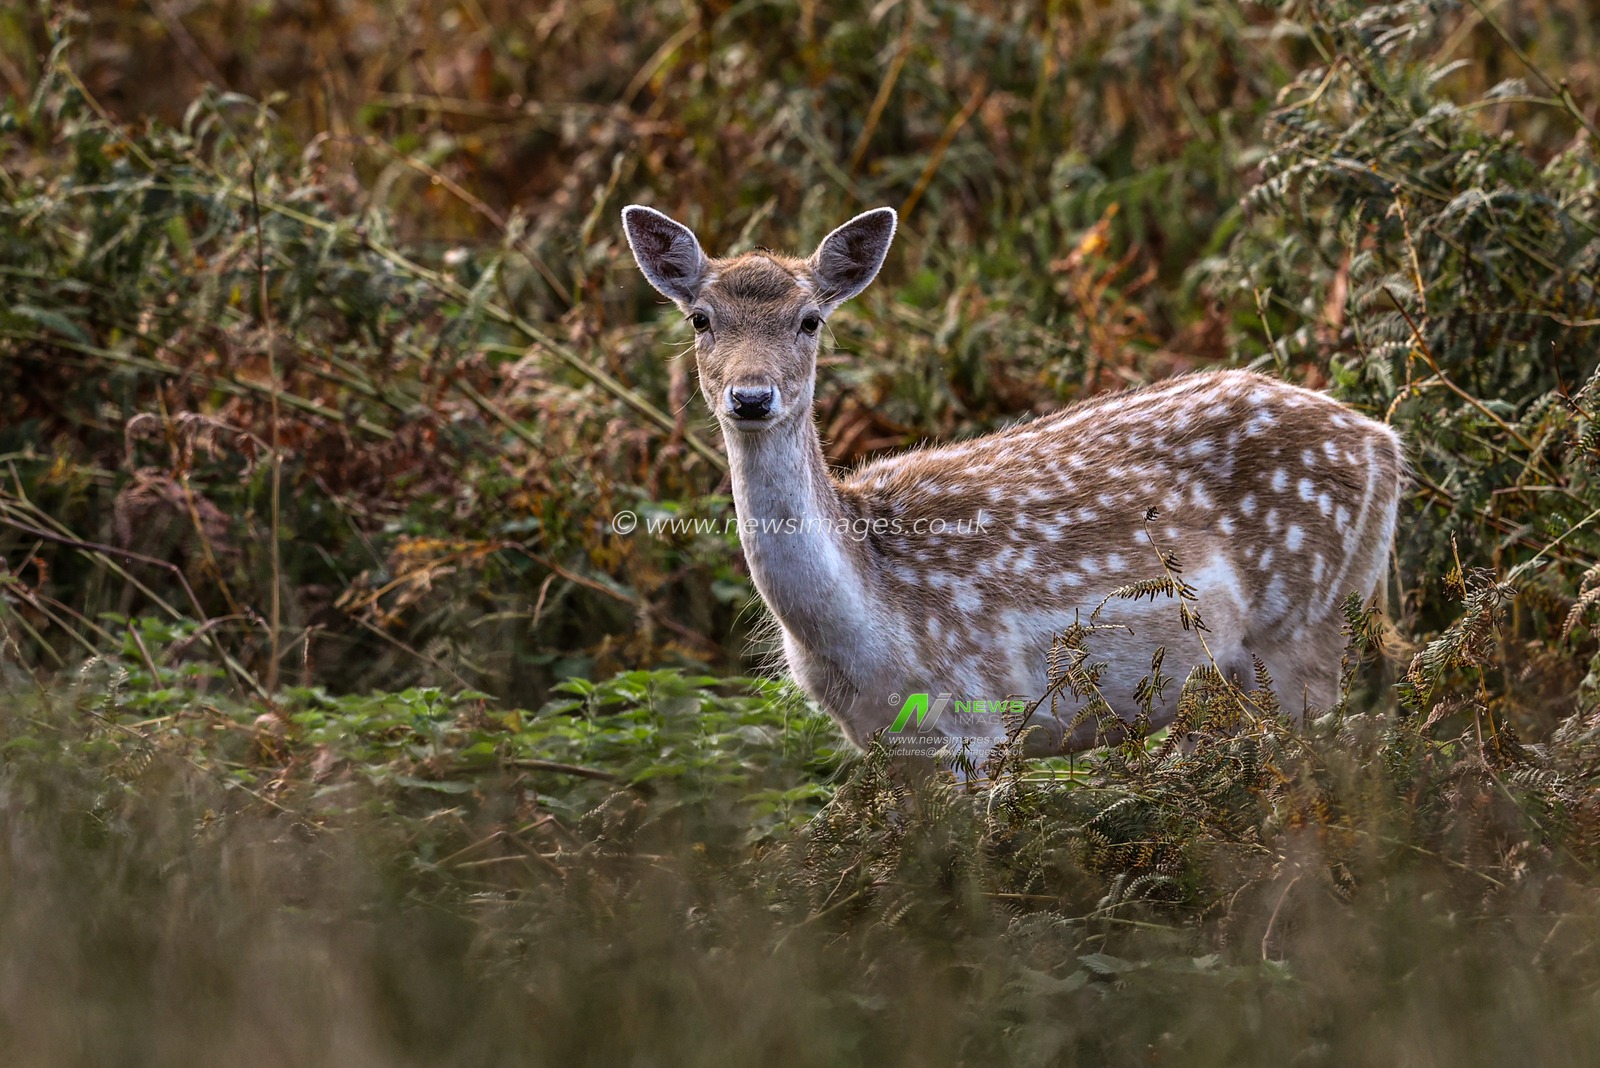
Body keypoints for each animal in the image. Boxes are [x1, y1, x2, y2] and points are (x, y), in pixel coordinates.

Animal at [621, 203, 1404, 773]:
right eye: (700, 318)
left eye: (810, 319)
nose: (752, 397)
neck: (868, 618)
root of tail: (1387, 443)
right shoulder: (884, 748)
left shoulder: (980, 711)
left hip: (1306, 624)